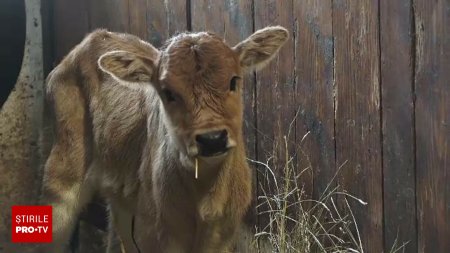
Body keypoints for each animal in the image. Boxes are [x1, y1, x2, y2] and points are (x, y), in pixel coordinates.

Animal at [39, 25, 288, 251]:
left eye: (234, 80)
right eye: (168, 92)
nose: (212, 138)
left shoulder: (223, 234)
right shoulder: (154, 234)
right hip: (63, 174)